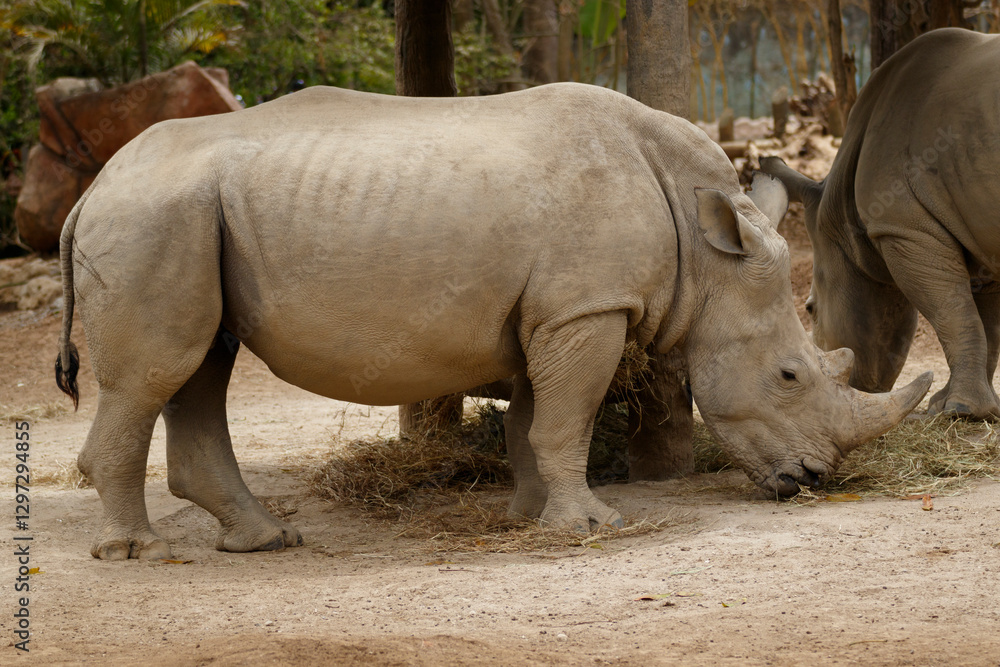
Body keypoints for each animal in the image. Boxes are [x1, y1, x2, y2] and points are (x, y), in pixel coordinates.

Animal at [55, 82, 931, 560]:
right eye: (789, 374)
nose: (811, 480)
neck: (710, 250)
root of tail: (89, 193)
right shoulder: (587, 307)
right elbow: (568, 417)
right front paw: (590, 526)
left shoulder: (553, 312)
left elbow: (535, 420)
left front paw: (530, 515)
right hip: (152, 217)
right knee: (159, 374)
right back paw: (139, 551)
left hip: (185, 217)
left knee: (201, 363)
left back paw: (266, 539)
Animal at [762, 28, 1000, 418]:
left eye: (810, 309)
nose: (865, 390)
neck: (842, 217)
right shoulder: (974, 234)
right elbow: (983, 321)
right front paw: (962, 407)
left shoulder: (904, 228)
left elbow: (952, 312)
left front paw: (960, 410)